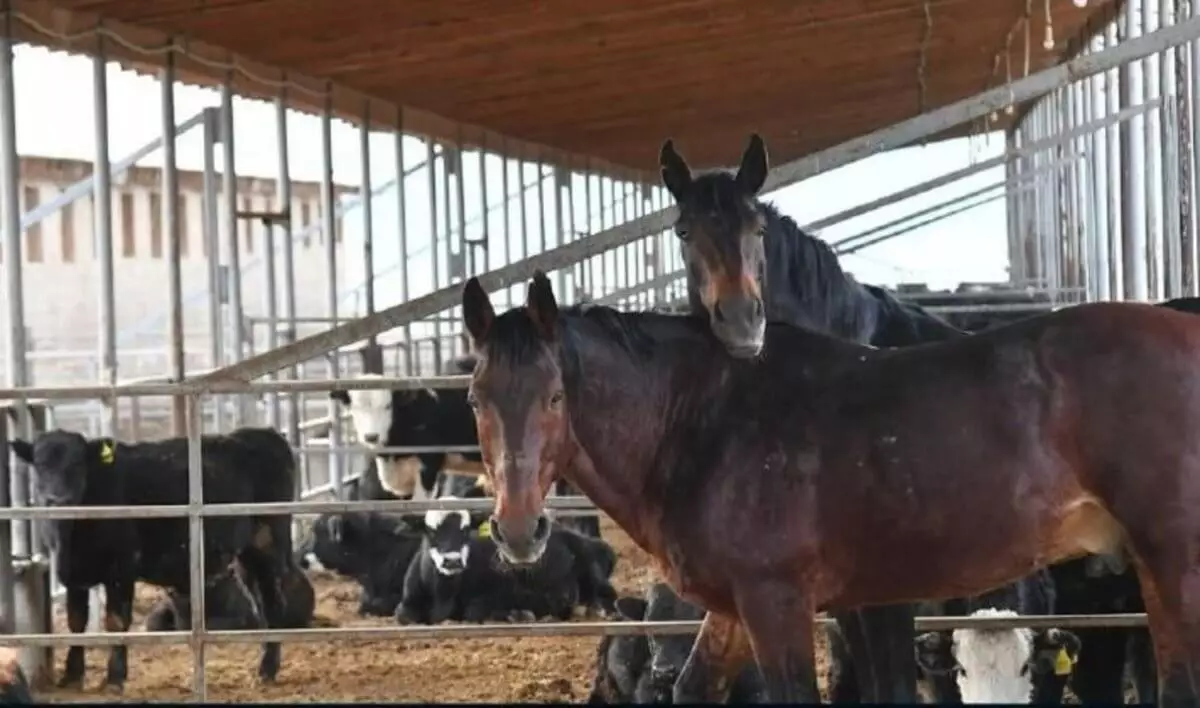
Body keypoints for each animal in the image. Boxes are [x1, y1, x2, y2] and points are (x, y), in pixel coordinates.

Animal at [12, 427, 298, 696]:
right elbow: (76, 622)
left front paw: (115, 678)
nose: (58, 499)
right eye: (40, 464)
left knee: (274, 604)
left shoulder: (122, 568)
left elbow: (116, 621)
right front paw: (71, 676)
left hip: (269, 543)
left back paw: (267, 670)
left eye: (77, 463)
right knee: (260, 604)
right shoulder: (74, 575)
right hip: (247, 558)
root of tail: (263, 433)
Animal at [393, 499, 619, 628]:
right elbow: (403, 616)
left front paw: (518, 614)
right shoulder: (406, 605)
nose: (452, 561)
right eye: (431, 532)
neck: (443, 594)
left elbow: (473, 611)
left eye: (465, 531)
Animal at [460, 270, 1200, 705]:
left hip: (1173, 561)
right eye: (475, 397)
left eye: (556, 396)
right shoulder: (740, 608)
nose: (519, 529)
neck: (706, 420)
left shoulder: (778, 601)